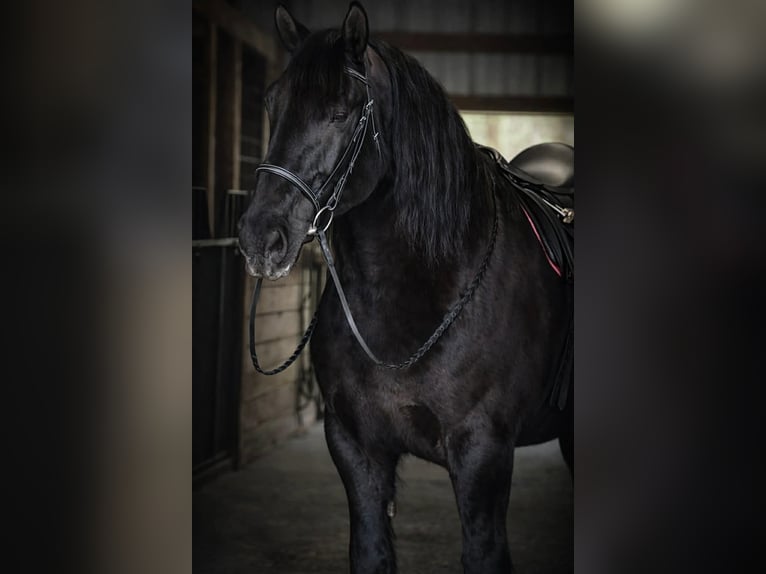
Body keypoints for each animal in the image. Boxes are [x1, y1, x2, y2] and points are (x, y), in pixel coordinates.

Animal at [238, 3, 573, 572]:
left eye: (342, 110)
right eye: (270, 102)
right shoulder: (355, 448)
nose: (260, 238)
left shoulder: (483, 453)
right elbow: (372, 552)